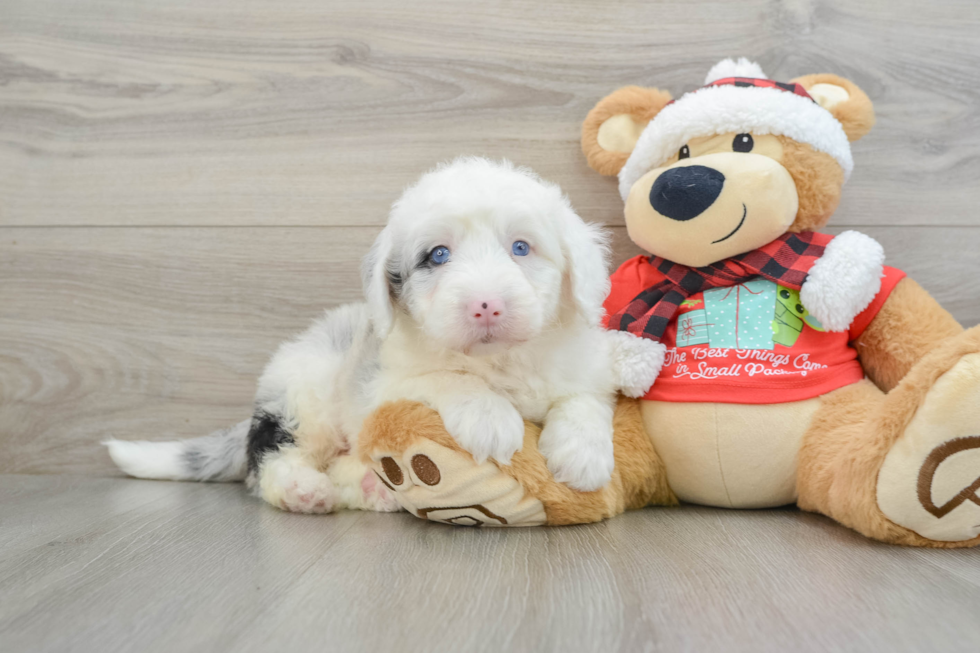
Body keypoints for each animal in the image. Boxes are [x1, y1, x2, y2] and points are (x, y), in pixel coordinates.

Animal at [103, 157, 664, 510]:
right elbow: (446, 378)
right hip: (304, 393)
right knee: (269, 460)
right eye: (437, 256)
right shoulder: (388, 383)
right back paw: (306, 491)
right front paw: (490, 418)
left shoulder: (582, 367)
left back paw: (372, 490)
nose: (486, 305)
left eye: (521, 248)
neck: (498, 360)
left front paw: (583, 455)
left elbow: (585, 400)